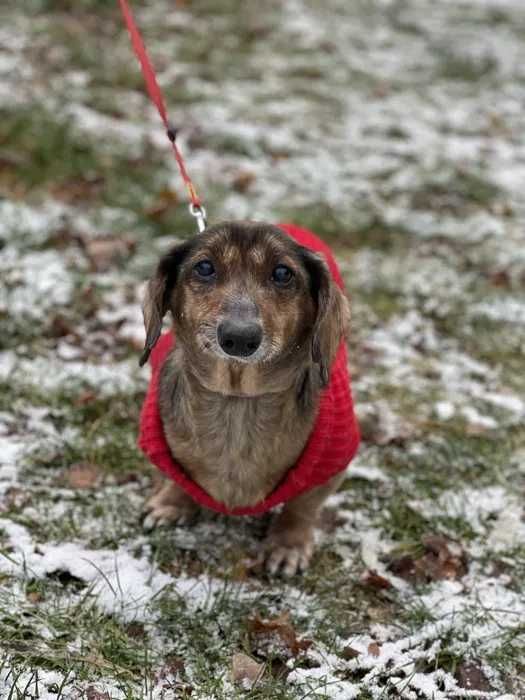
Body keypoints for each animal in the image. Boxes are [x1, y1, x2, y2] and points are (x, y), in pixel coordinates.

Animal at [138, 220, 356, 576]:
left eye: (282, 273)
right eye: (204, 267)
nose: (239, 338)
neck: (238, 398)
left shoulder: (334, 460)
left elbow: (303, 505)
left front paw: (288, 544)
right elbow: (177, 477)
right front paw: (171, 503)